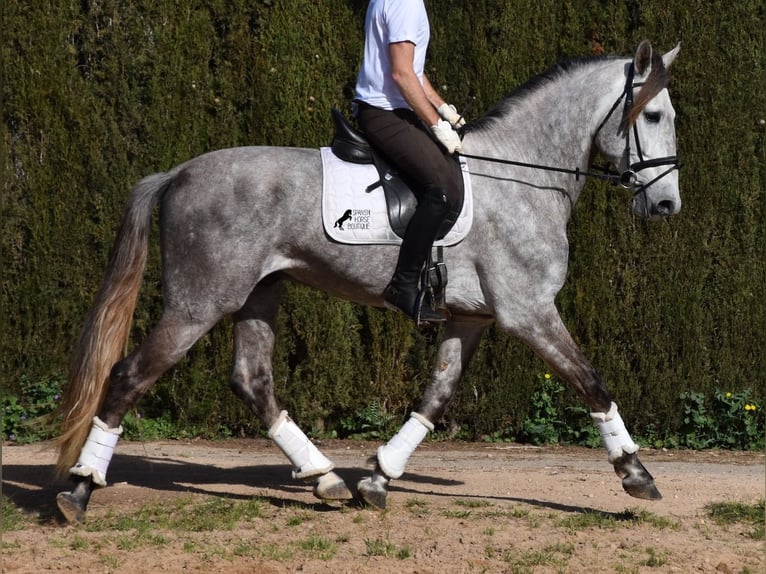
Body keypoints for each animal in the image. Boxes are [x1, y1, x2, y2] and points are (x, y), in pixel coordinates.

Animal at [54, 40, 680, 520]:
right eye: (652, 117)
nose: (667, 205)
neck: (521, 178)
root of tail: (179, 172)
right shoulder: (528, 311)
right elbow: (591, 382)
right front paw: (635, 473)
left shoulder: (471, 317)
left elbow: (436, 397)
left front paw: (379, 478)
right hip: (197, 303)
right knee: (128, 376)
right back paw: (79, 489)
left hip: (259, 294)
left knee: (252, 381)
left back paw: (324, 478)